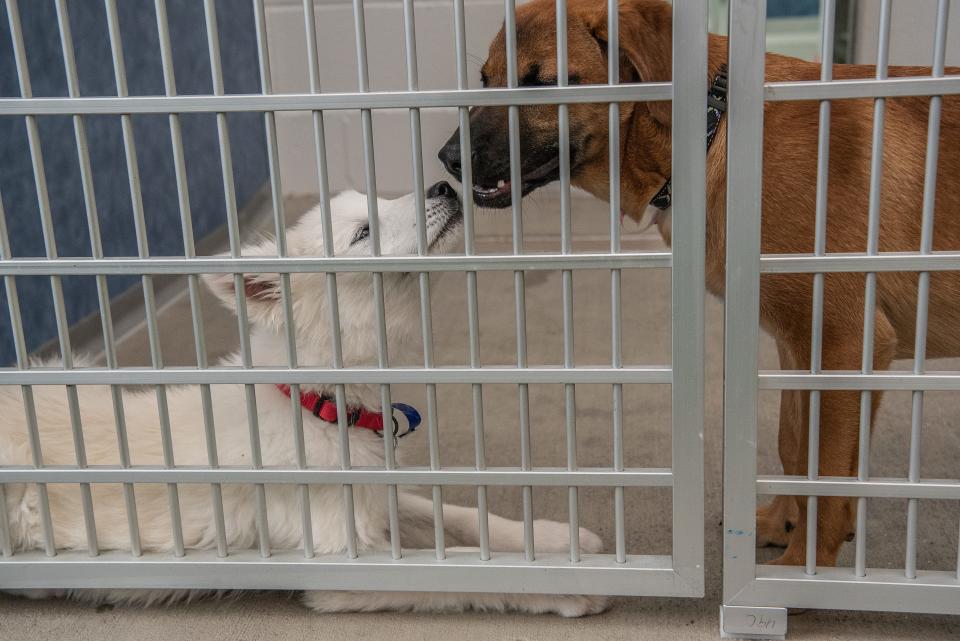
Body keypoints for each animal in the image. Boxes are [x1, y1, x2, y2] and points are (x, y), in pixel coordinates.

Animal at [3, 184, 608, 616]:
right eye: (363, 233)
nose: (443, 184)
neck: (317, 402)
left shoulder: (374, 492)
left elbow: (459, 514)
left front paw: (554, 539)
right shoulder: (342, 561)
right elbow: (457, 569)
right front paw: (565, 586)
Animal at [436, 0, 960, 564]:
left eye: (541, 83)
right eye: (485, 81)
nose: (447, 159)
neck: (716, 127)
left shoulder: (844, 343)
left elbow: (824, 477)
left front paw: (805, 568)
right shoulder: (797, 347)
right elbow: (794, 447)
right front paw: (782, 524)